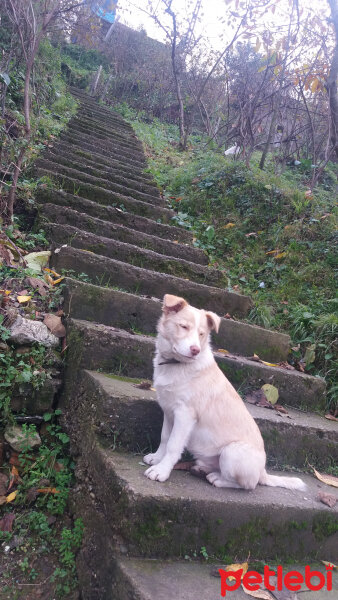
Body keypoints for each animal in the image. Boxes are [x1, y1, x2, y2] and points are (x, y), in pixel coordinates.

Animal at [143, 296, 306, 492]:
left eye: (202, 334)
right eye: (183, 327)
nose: (195, 350)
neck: (176, 365)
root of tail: (262, 472)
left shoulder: (185, 414)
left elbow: (173, 445)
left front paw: (161, 471)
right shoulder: (169, 410)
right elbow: (165, 438)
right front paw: (156, 458)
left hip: (231, 453)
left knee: (248, 485)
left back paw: (218, 479)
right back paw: (202, 469)